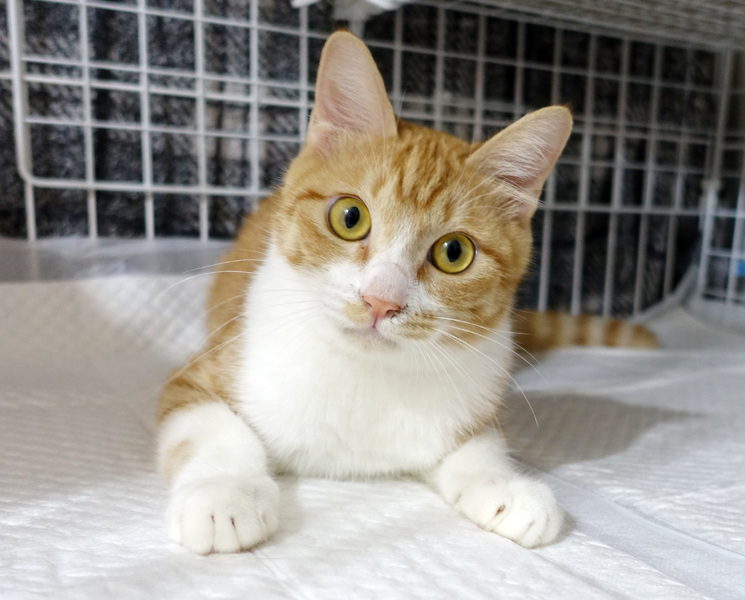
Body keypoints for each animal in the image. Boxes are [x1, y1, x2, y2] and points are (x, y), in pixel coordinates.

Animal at [157, 30, 653, 555]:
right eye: (350, 216)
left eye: (454, 252)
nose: (382, 300)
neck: (365, 374)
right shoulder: (205, 369)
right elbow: (210, 426)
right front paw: (223, 491)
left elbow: (478, 447)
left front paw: (507, 488)